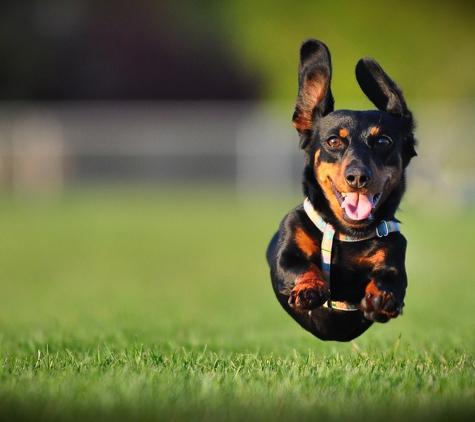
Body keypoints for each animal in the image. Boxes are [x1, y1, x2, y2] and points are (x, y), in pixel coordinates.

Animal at [268, 39, 416, 342]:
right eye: (334, 141)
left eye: (383, 141)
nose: (358, 176)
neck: (347, 233)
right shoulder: (286, 253)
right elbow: (299, 265)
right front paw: (309, 288)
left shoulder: (395, 256)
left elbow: (391, 280)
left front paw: (382, 296)